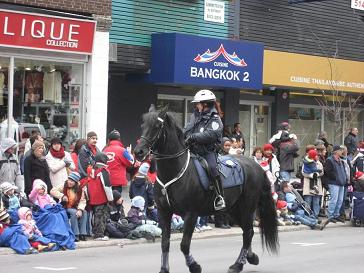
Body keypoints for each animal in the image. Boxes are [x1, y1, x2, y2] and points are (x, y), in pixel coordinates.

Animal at [134, 105, 278, 272]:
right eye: (143, 125)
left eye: (157, 126)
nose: (138, 152)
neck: (175, 172)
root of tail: (256, 166)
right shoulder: (164, 212)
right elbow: (165, 243)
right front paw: (164, 269)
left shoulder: (191, 214)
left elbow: (184, 244)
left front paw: (194, 266)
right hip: (234, 210)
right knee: (247, 232)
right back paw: (249, 257)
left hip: (247, 209)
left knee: (248, 233)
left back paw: (238, 265)